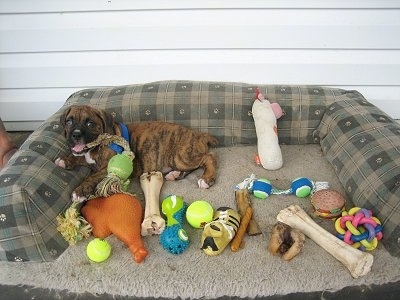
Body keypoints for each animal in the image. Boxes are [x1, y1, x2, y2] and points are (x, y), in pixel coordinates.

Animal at [54, 103, 217, 202]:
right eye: (69, 121)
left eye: (89, 123)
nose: (75, 135)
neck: (98, 146)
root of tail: (199, 134)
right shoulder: (85, 155)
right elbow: (80, 157)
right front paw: (65, 160)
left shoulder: (105, 168)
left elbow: (92, 176)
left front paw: (80, 191)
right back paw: (175, 174)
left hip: (180, 156)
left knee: (209, 157)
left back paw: (206, 179)